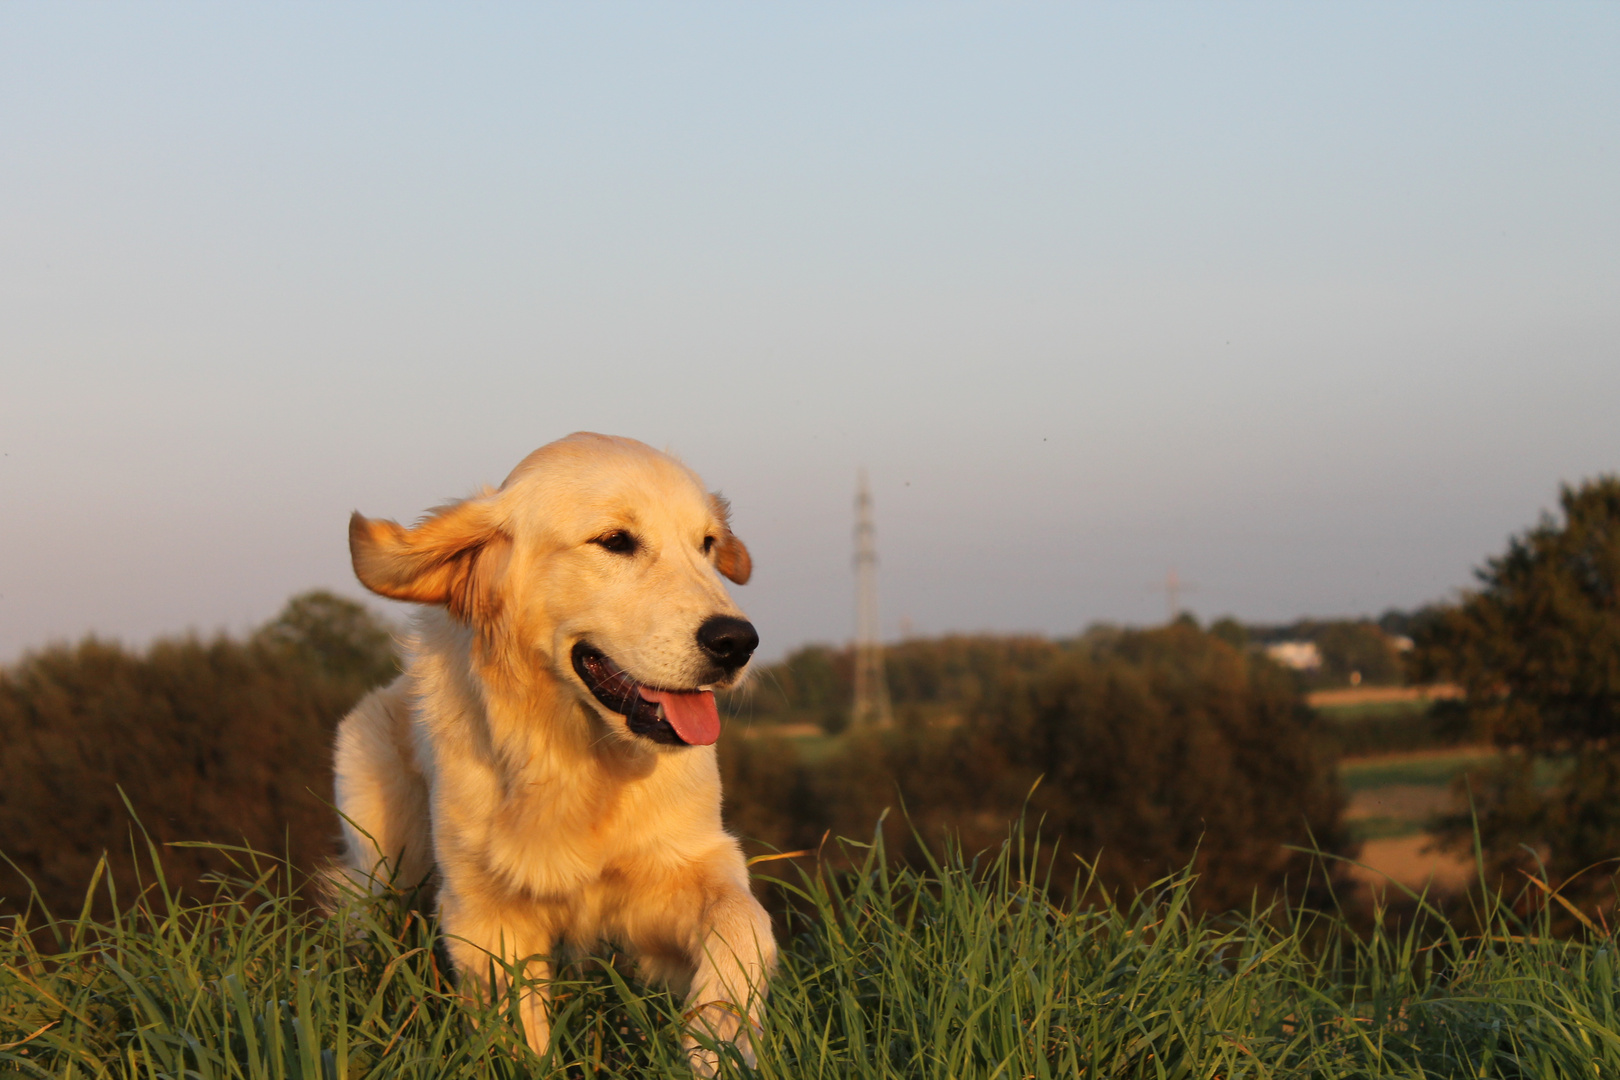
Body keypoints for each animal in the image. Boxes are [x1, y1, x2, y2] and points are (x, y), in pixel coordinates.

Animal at [328, 433, 771, 1075]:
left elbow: (745, 922)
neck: (579, 758)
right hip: (384, 867)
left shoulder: (688, 863)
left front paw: (718, 1038)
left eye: (707, 544)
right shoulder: (485, 915)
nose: (737, 641)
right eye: (615, 541)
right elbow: (516, 1034)